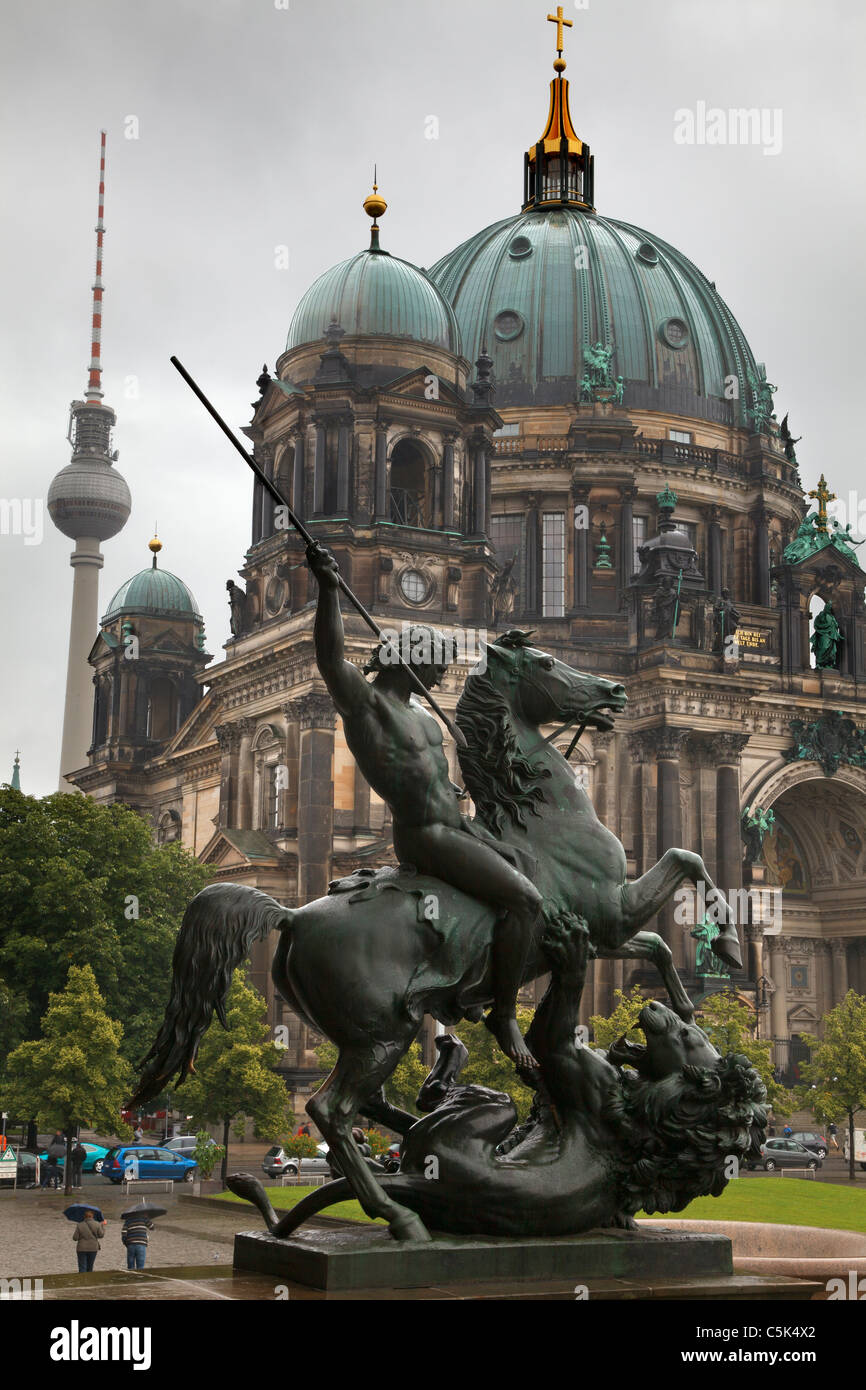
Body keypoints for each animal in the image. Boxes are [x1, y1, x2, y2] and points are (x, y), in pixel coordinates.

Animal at [132, 636, 739, 1245]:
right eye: (546, 663)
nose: (614, 690)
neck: (545, 819)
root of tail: (293, 915)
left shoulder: (601, 933)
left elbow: (662, 933)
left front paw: (694, 999)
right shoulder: (613, 913)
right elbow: (686, 860)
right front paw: (725, 953)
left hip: (361, 1033)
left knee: (369, 1104)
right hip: (385, 1034)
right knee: (332, 1110)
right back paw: (401, 1210)